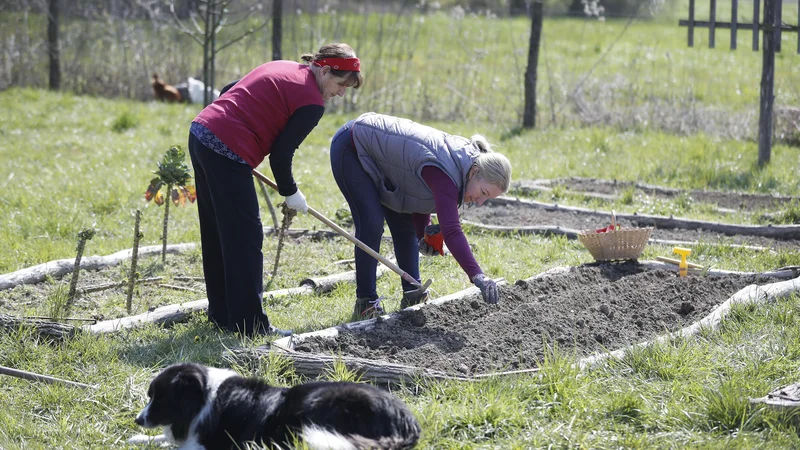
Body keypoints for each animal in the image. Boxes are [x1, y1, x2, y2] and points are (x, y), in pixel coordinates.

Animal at [128, 362, 422, 450]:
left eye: (159, 398)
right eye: (150, 396)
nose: (137, 420)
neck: (203, 398)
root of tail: (407, 422)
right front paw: (137, 438)